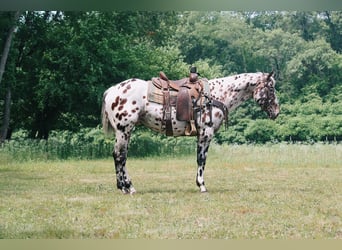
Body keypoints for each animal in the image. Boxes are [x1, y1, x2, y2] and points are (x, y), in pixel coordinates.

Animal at [100, 71, 280, 194]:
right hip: (124, 130)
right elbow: (201, 160)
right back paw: (128, 187)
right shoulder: (206, 133)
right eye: (271, 88)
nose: (276, 112)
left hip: (124, 132)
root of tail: (111, 91)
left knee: (119, 156)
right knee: (120, 156)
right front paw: (202, 185)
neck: (216, 95)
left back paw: (124, 186)